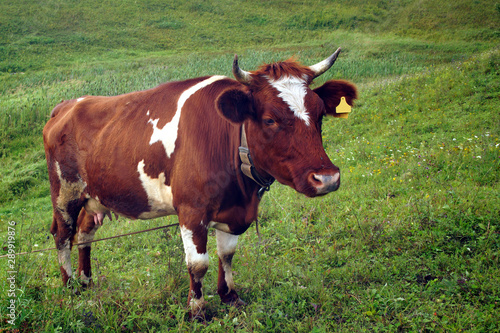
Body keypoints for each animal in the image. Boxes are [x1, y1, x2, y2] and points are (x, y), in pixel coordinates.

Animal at [42, 47, 356, 316]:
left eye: (320, 114)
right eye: (270, 119)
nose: (327, 178)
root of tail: (67, 104)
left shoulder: (233, 210)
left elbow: (227, 254)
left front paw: (230, 296)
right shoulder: (191, 211)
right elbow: (197, 264)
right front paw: (197, 309)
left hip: (93, 196)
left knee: (85, 234)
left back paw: (86, 281)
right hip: (65, 192)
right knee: (62, 235)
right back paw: (70, 286)